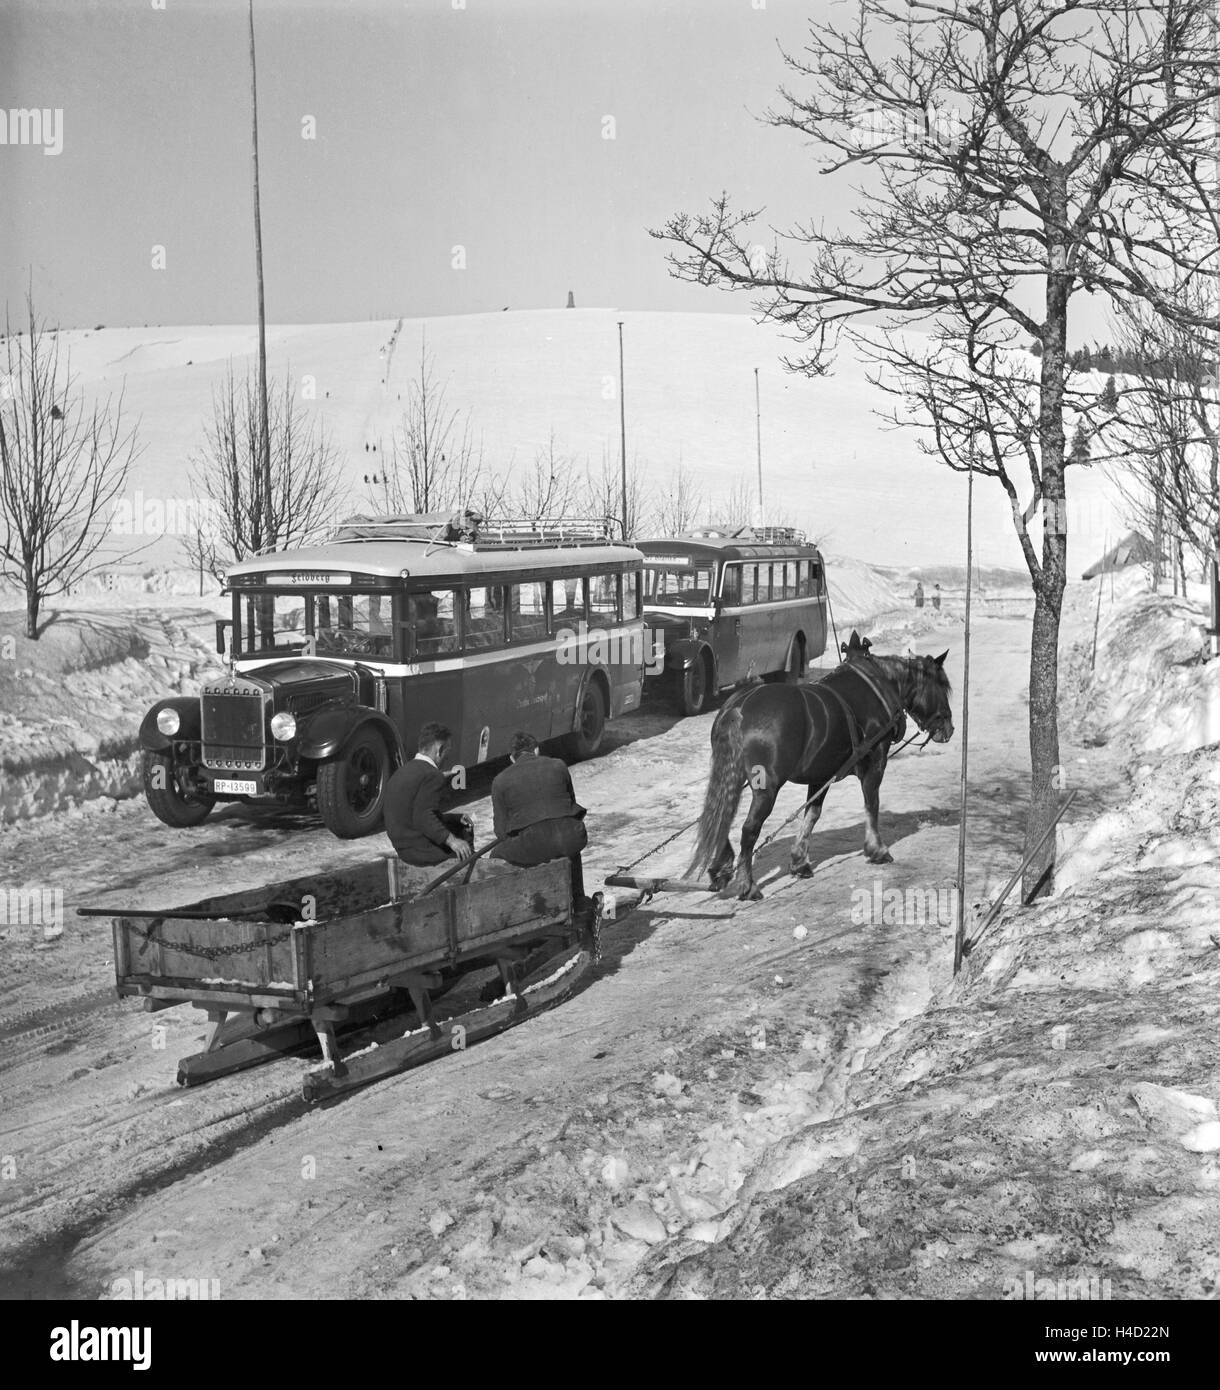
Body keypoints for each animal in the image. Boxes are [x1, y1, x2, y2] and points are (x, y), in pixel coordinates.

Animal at [689, 633, 955, 900]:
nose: (949, 728)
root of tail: (740, 707)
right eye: (942, 687)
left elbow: (812, 814)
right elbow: (872, 804)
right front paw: (877, 849)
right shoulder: (876, 761)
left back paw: (721, 869)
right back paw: (747, 885)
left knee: (722, 817)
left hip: (733, 775)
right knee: (749, 829)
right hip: (767, 787)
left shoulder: (821, 774)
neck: (878, 687)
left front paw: (799, 861)